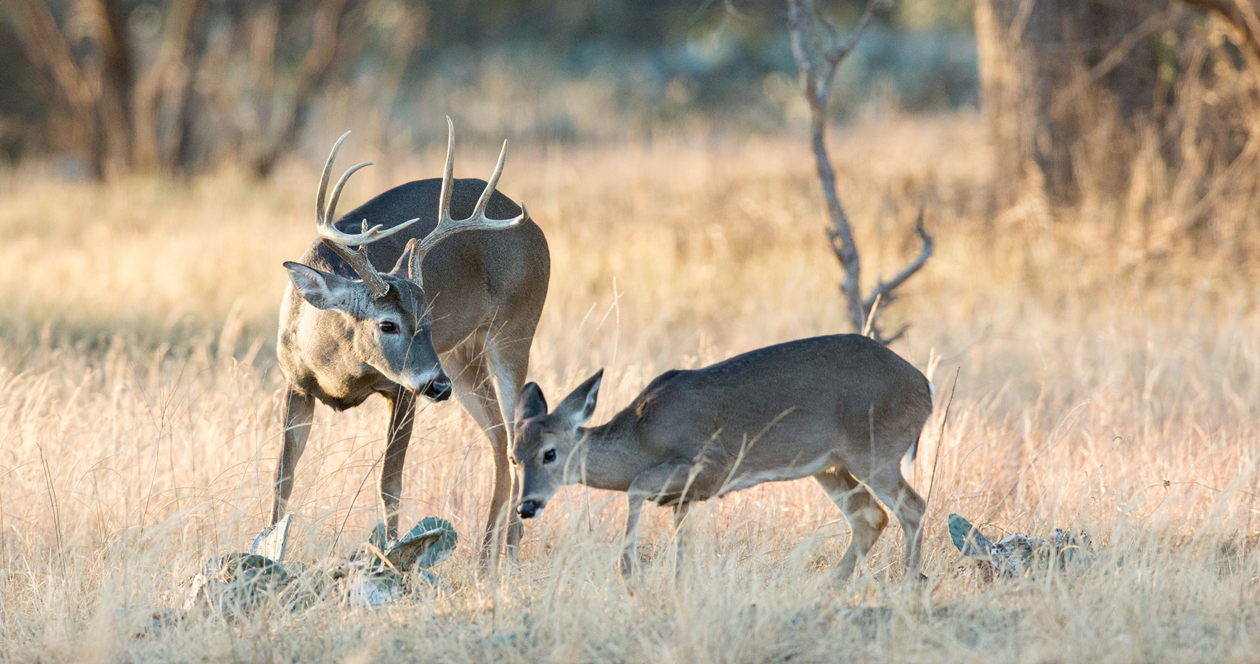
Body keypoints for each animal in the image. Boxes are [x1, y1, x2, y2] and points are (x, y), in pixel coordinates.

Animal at [273, 119, 549, 567]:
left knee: (514, 434)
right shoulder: (295, 385)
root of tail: (533, 227)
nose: (437, 386)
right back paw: (487, 555)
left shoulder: (402, 390)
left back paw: (506, 553)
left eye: (429, 321)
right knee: (499, 439)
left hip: (514, 330)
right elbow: (283, 477)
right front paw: (268, 546)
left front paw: (390, 555)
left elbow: (390, 482)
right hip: (461, 360)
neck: (336, 371)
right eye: (388, 325)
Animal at [510, 334, 933, 579]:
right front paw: (677, 581)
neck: (642, 438)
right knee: (870, 516)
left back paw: (910, 583)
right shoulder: (685, 496)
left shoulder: (709, 463)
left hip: (875, 451)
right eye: (515, 457)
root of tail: (924, 388)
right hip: (830, 465)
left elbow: (636, 486)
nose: (526, 506)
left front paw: (628, 570)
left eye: (549, 454)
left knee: (911, 506)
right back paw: (825, 583)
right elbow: (681, 540)